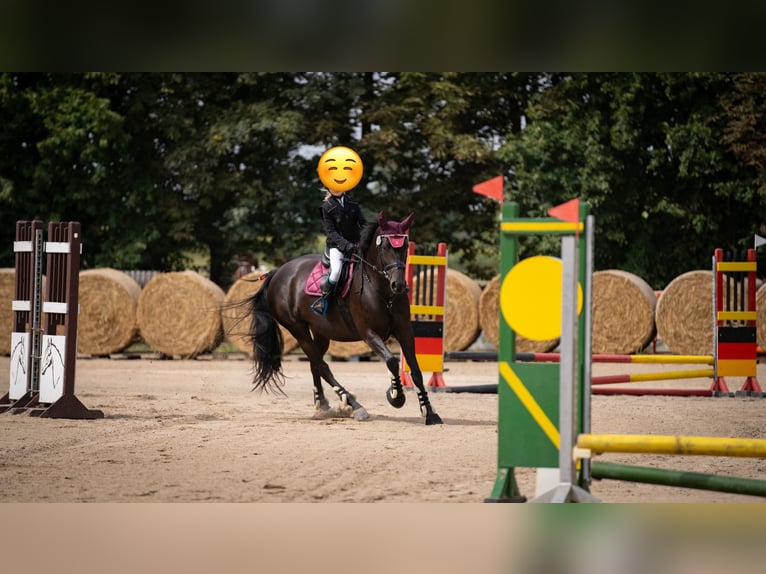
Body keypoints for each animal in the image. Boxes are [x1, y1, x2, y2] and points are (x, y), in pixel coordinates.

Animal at [248, 213, 444, 428]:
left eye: (405, 246)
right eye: (385, 247)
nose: (399, 285)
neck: (383, 291)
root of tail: (277, 272)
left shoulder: (405, 331)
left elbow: (416, 370)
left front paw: (430, 413)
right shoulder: (368, 334)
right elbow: (392, 361)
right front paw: (395, 396)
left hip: (320, 332)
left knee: (315, 363)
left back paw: (323, 405)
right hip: (297, 329)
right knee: (322, 366)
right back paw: (354, 405)